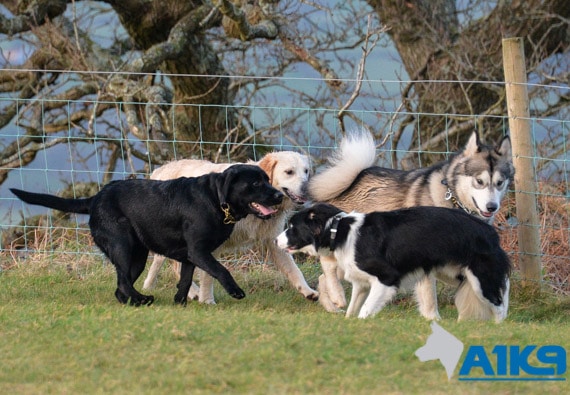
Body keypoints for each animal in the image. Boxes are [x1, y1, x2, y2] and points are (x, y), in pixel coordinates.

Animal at [10, 164, 282, 306]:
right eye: (256, 184)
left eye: (267, 180)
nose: (279, 195)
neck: (216, 199)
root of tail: (95, 198)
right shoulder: (199, 251)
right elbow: (221, 269)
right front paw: (235, 291)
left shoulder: (189, 256)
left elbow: (185, 280)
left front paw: (180, 302)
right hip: (121, 245)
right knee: (122, 282)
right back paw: (142, 299)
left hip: (137, 256)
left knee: (121, 287)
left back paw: (134, 302)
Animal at [140, 152, 318, 304]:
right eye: (289, 172)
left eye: (306, 171)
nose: (307, 188)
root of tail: (161, 169)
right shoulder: (209, 245)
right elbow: (209, 274)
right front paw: (207, 300)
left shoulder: (274, 242)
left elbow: (294, 270)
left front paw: (308, 291)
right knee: (164, 262)